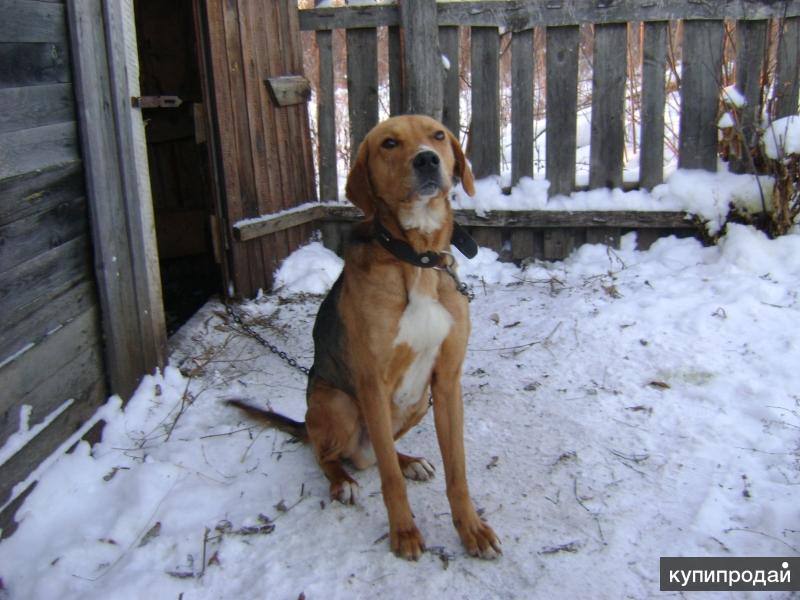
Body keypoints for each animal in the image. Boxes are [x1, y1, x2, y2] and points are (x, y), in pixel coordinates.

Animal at [230, 115, 500, 560]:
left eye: (438, 135)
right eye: (389, 143)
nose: (427, 160)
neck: (418, 257)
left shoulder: (447, 382)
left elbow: (456, 472)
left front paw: (472, 529)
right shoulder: (373, 384)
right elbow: (389, 480)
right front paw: (404, 532)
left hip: (417, 402)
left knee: (377, 451)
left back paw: (409, 461)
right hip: (338, 404)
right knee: (331, 454)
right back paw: (343, 482)